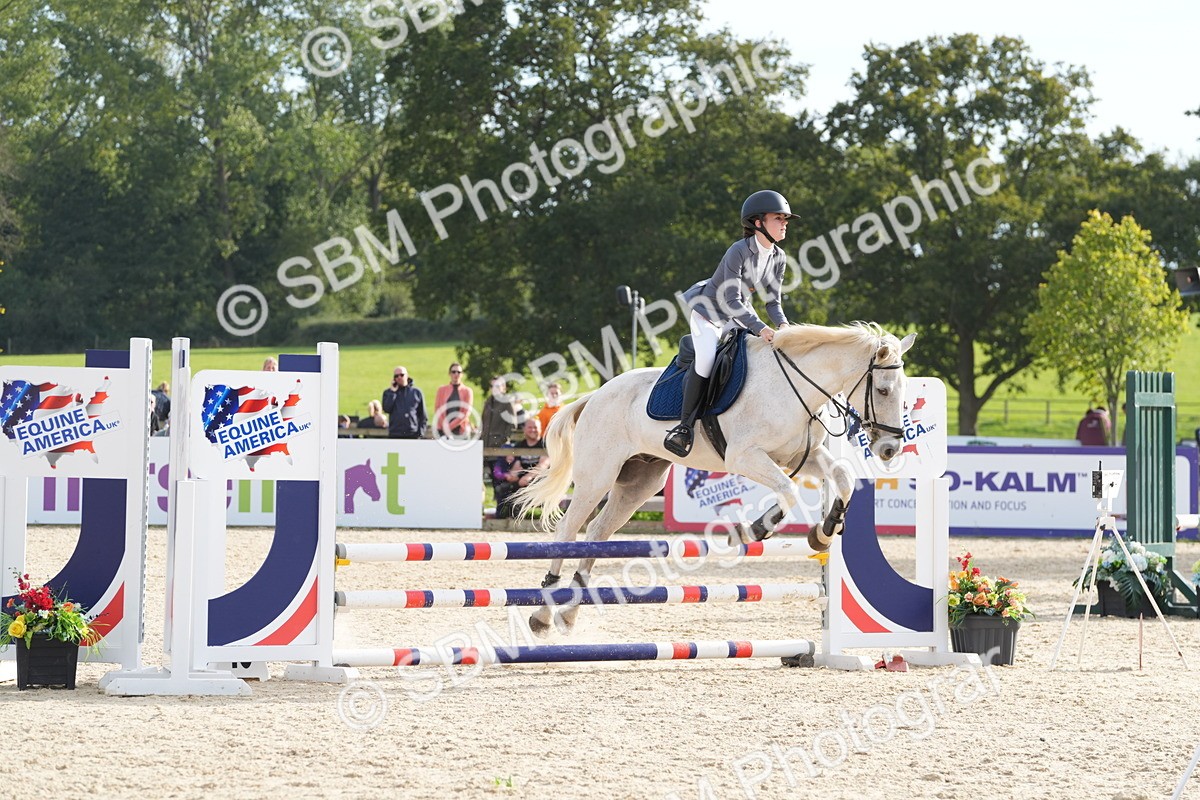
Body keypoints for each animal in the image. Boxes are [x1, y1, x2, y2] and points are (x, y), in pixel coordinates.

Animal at [512, 321, 915, 635]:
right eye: (883, 390)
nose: (890, 449)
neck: (794, 388)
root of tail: (594, 396)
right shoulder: (745, 456)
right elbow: (787, 490)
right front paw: (753, 530)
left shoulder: (803, 457)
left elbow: (843, 478)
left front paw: (824, 532)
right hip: (597, 476)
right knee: (567, 532)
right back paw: (543, 614)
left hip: (639, 483)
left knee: (597, 533)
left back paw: (569, 613)